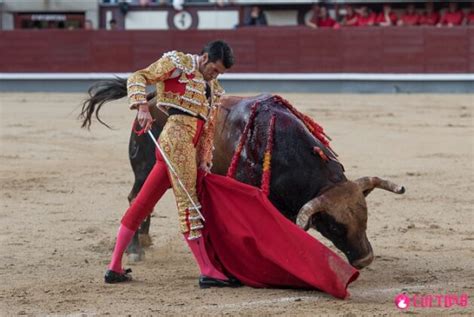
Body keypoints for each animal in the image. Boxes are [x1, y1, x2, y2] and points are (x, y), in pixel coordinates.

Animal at [80, 78, 404, 268]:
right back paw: (136, 249)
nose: (365, 259)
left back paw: (145, 242)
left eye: (365, 218)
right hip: (144, 167)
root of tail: (149, 98)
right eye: (335, 227)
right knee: (136, 198)